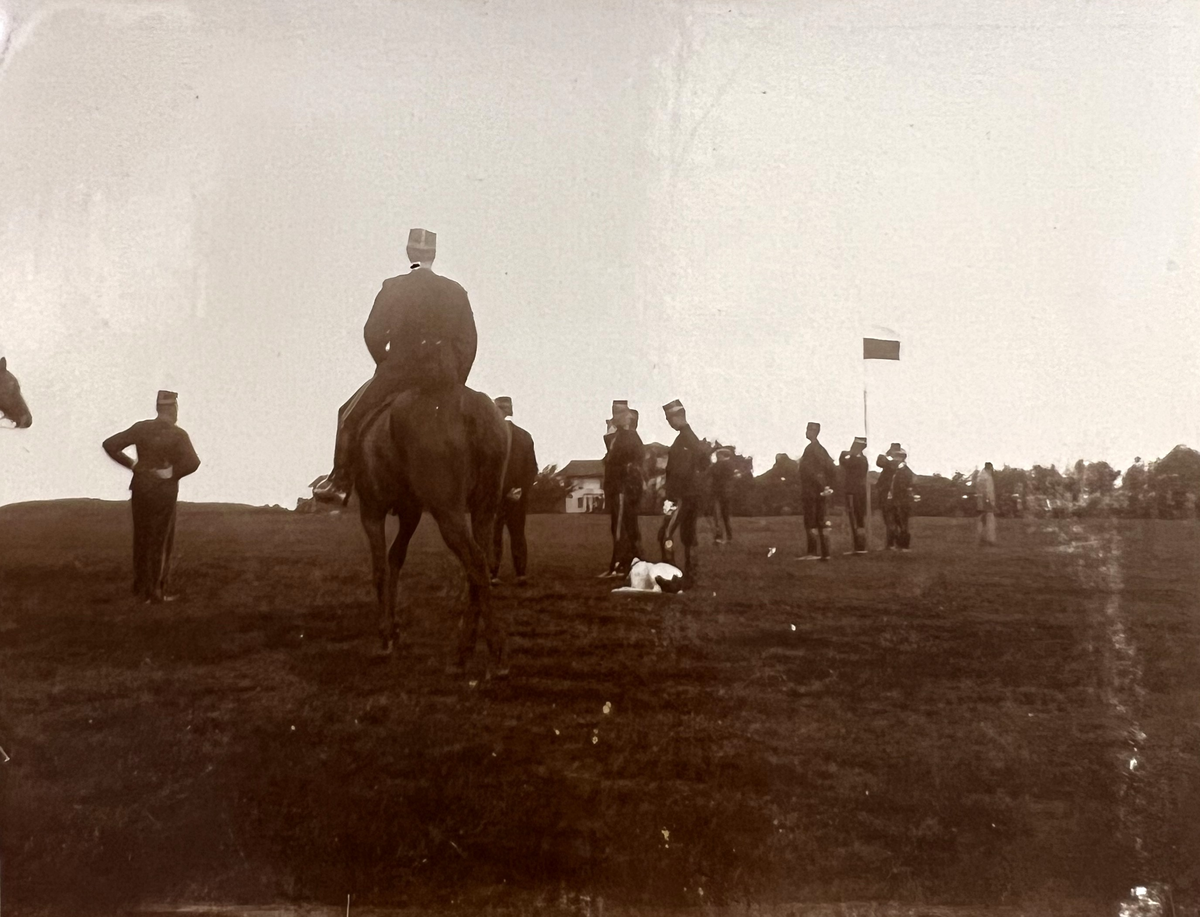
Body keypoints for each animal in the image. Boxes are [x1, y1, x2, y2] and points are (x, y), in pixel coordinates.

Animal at [353, 380, 510, 677]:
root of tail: (475, 410)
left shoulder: (371, 510)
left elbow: (380, 569)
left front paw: (385, 635)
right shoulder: (410, 512)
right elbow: (395, 559)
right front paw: (394, 630)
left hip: (447, 511)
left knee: (475, 562)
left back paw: (493, 654)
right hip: (484, 510)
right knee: (480, 564)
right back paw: (464, 652)